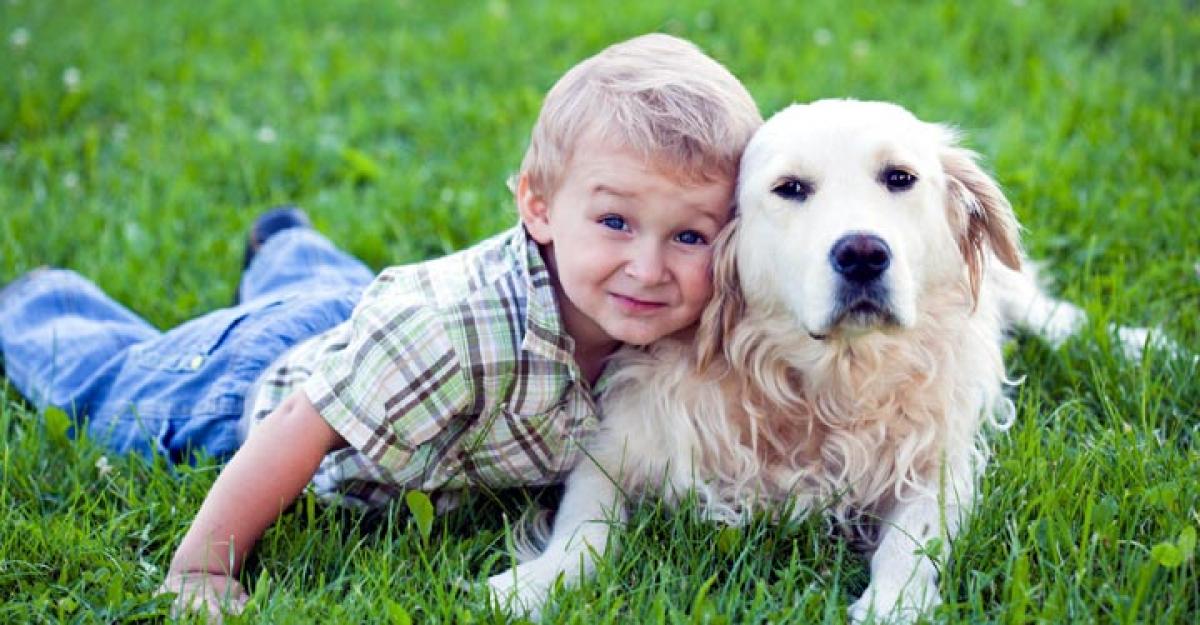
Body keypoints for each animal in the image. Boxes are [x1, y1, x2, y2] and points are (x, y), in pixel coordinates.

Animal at [484, 100, 1123, 619]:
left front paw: (894, 602)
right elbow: (585, 528)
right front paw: (535, 583)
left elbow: (911, 541)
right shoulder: (618, 445)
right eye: (790, 188)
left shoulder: (938, 464)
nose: (862, 254)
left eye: (899, 178)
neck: (825, 384)